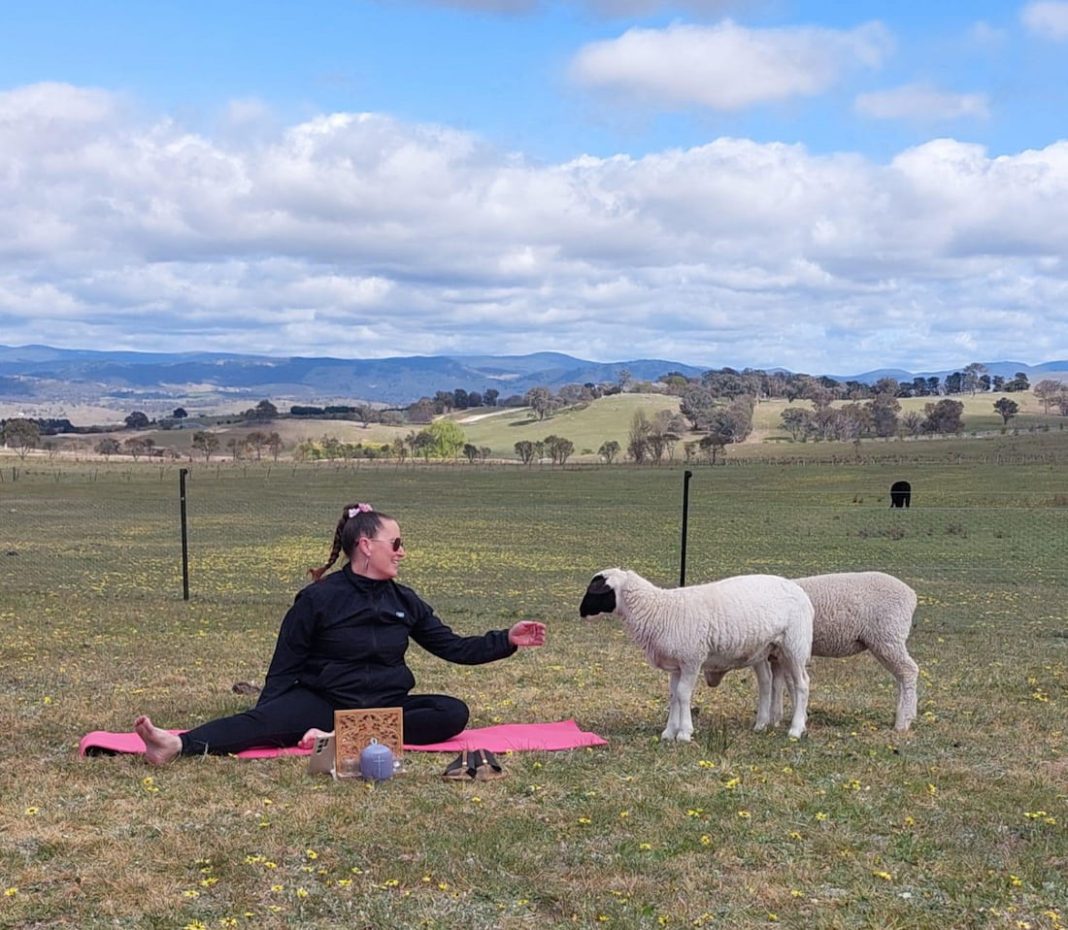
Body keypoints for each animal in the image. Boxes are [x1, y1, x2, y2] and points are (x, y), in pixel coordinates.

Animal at [580, 568, 811, 743]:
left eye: (594, 590)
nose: (581, 612)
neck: (657, 610)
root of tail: (799, 590)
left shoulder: (691, 659)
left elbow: (683, 694)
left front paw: (684, 733)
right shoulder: (676, 665)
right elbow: (673, 695)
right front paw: (669, 732)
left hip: (795, 645)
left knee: (802, 684)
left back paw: (796, 729)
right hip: (763, 650)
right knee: (766, 682)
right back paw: (761, 724)